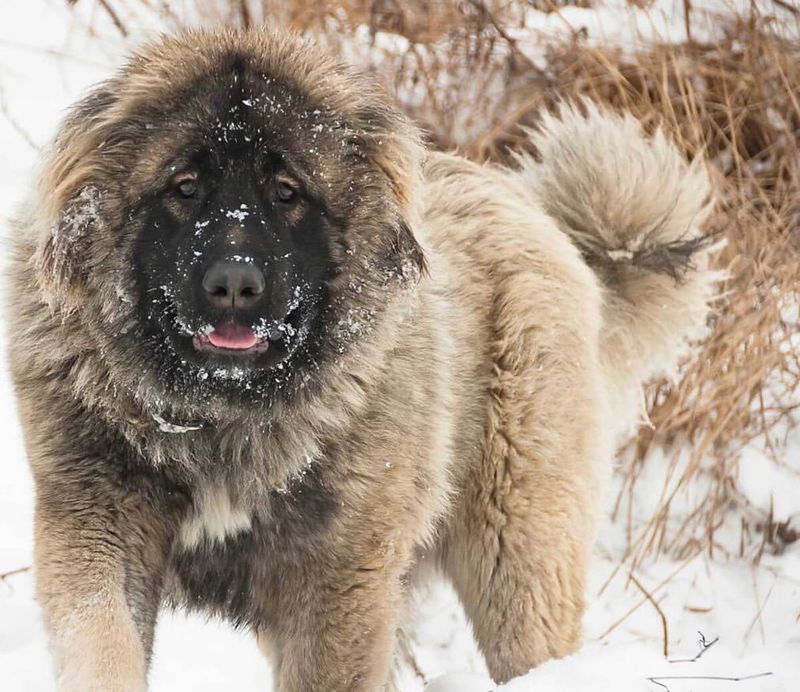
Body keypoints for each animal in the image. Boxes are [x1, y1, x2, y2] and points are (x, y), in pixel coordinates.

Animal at [6, 28, 720, 692]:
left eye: (286, 191)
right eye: (184, 186)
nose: (234, 283)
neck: (222, 419)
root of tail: (537, 214)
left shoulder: (338, 580)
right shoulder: (97, 528)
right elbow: (104, 646)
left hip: (516, 558)